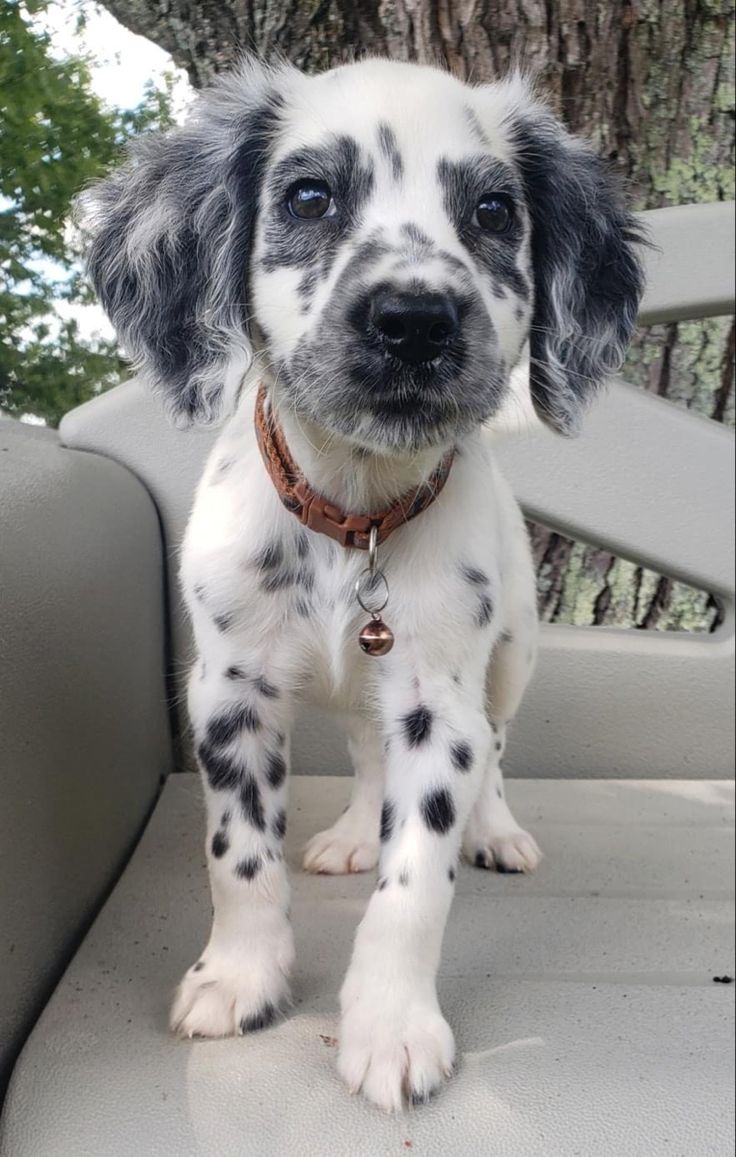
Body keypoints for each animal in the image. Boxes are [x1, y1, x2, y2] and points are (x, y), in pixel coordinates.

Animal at [82, 56, 643, 1110]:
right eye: (310, 197)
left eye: (495, 211)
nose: (415, 319)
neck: (358, 519)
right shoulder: (228, 693)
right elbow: (238, 857)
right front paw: (241, 978)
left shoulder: (439, 704)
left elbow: (413, 886)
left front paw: (391, 1027)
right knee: (359, 748)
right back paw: (349, 832)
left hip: (512, 658)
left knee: (498, 750)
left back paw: (496, 830)